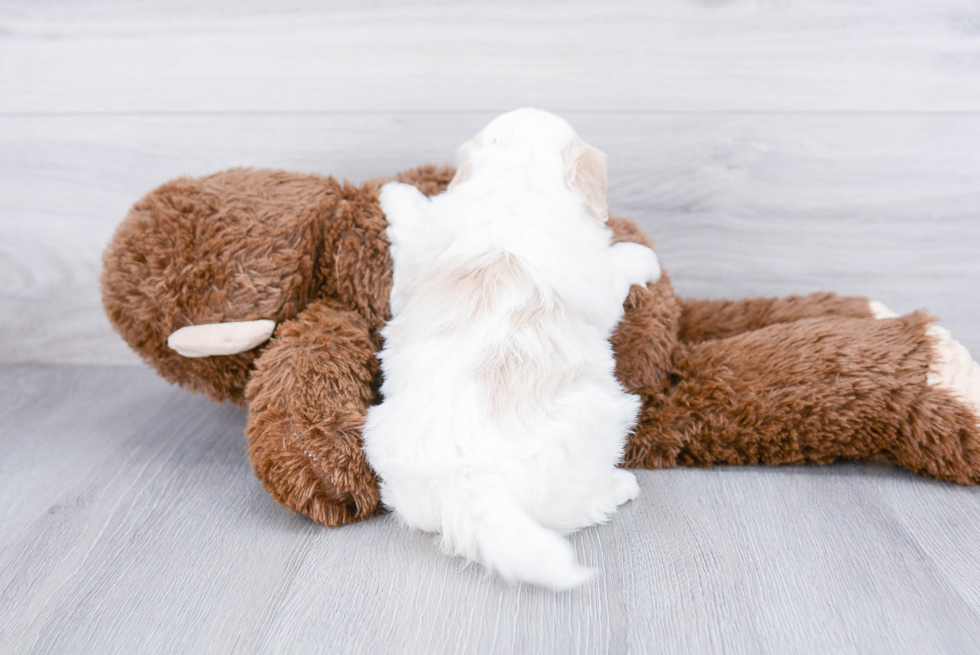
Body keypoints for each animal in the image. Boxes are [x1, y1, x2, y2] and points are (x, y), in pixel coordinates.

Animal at [364, 107, 664, 588]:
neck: (514, 185)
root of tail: (471, 484)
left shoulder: (418, 263)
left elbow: (411, 241)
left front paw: (398, 196)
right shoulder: (598, 281)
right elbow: (617, 266)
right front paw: (643, 257)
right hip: (599, 422)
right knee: (579, 509)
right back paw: (620, 487)